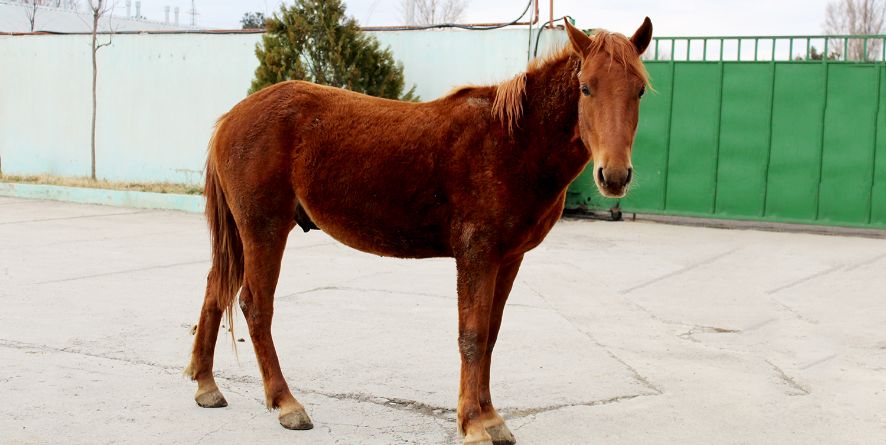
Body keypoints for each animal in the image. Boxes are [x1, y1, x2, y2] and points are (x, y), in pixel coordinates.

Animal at [186, 18, 652, 444]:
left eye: (639, 91)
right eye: (586, 88)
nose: (614, 176)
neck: (512, 141)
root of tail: (231, 118)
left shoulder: (509, 258)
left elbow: (491, 334)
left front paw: (490, 417)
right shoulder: (477, 254)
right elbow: (472, 335)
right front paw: (473, 423)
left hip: (242, 234)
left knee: (215, 289)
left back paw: (207, 386)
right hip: (264, 229)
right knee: (255, 306)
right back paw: (286, 403)